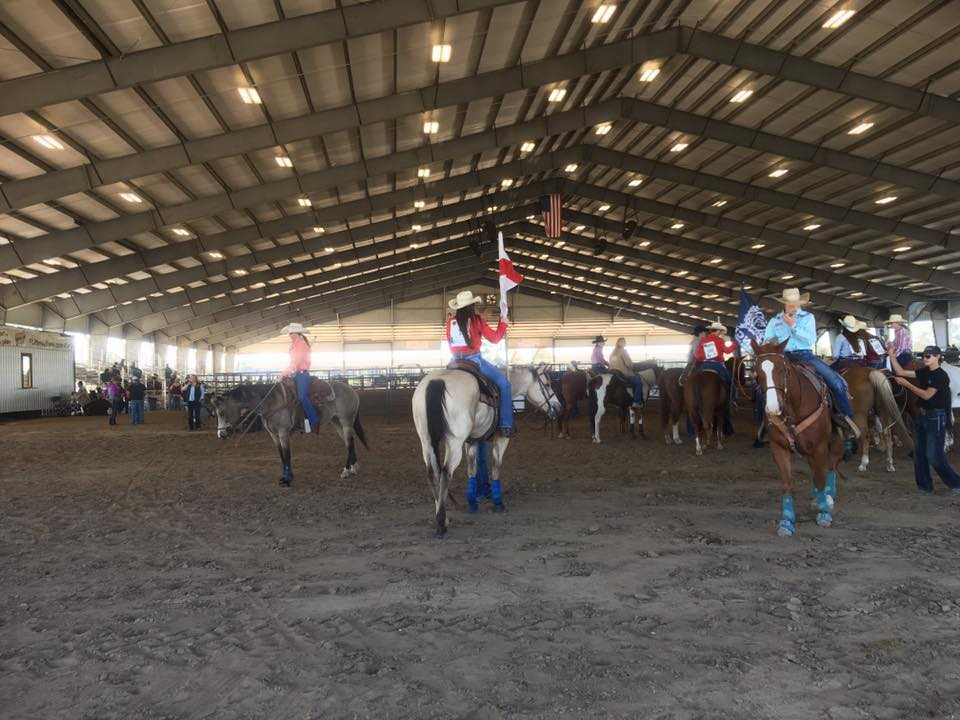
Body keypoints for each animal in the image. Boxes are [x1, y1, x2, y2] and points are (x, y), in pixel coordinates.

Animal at [208, 380, 366, 486]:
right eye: (214, 414)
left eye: (222, 412)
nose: (221, 435)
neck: (271, 403)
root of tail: (352, 390)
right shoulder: (274, 435)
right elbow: (281, 456)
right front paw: (285, 476)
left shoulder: (283, 433)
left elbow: (287, 454)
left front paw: (288, 479)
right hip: (336, 421)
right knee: (349, 442)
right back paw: (353, 468)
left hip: (345, 421)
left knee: (349, 442)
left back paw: (346, 471)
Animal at [412, 362, 564, 536]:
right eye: (547, 384)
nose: (558, 407)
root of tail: (437, 381)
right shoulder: (501, 438)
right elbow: (496, 467)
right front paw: (498, 503)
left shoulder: (471, 442)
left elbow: (472, 470)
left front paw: (472, 502)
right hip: (454, 442)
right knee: (445, 473)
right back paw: (441, 524)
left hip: (426, 440)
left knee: (432, 473)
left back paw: (443, 517)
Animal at [752, 340, 844, 536]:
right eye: (757, 372)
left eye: (783, 370)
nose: (773, 408)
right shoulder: (779, 448)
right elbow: (788, 483)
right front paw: (787, 522)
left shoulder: (819, 447)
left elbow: (820, 478)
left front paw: (824, 513)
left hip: (836, 439)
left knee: (831, 465)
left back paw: (828, 497)